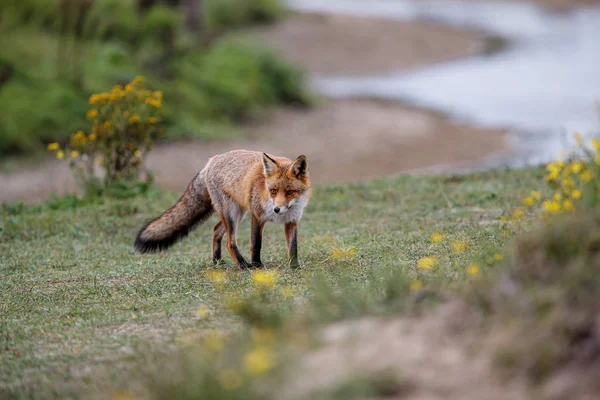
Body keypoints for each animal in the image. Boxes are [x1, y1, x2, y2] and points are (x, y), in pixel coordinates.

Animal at [134, 150, 312, 268]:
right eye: (273, 191)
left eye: (290, 192)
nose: (276, 210)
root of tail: (211, 160)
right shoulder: (257, 216)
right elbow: (256, 244)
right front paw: (257, 265)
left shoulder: (292, 222)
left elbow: (293, 247)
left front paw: (295, 267)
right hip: (231, 214)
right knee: (229, 242)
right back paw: (244, 265)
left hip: (236, 214)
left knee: (216, 230)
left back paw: (217, 261)